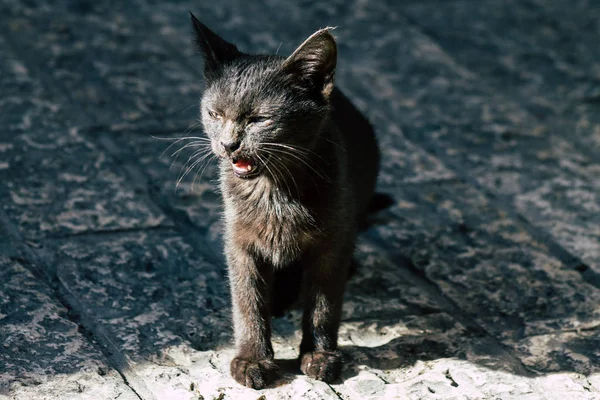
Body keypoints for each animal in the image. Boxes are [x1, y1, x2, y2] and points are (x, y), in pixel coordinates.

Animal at [191, 14, 380, 390]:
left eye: (259, 119)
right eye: (215, 114)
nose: (228, 144)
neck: (274, 190)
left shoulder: (334, 242)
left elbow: (323, 303)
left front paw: (319, 355)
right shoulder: (238, 240)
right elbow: (247, 300)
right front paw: (253, 359)